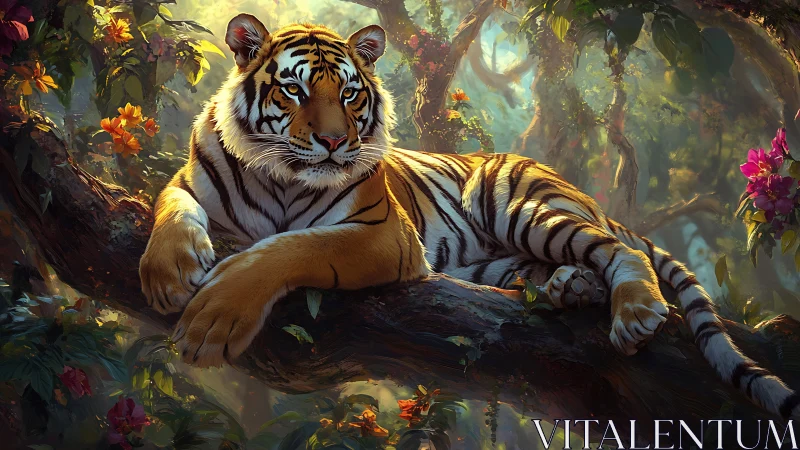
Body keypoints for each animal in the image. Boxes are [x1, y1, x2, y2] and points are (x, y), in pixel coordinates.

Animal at [139, 14, 800, 419]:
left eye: (349, 93)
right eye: (295, 90)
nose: (333, 142)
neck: (281, 176)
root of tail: (574, 187)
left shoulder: (382, 234)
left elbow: (293, 247)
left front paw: (215, 319)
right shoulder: (188, 182)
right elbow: (169, 208)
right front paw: (168, 272)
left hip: (525, 208)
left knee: (622, 249)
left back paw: (633, 309)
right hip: (492, 264)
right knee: (558, 268)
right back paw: (569, 287)